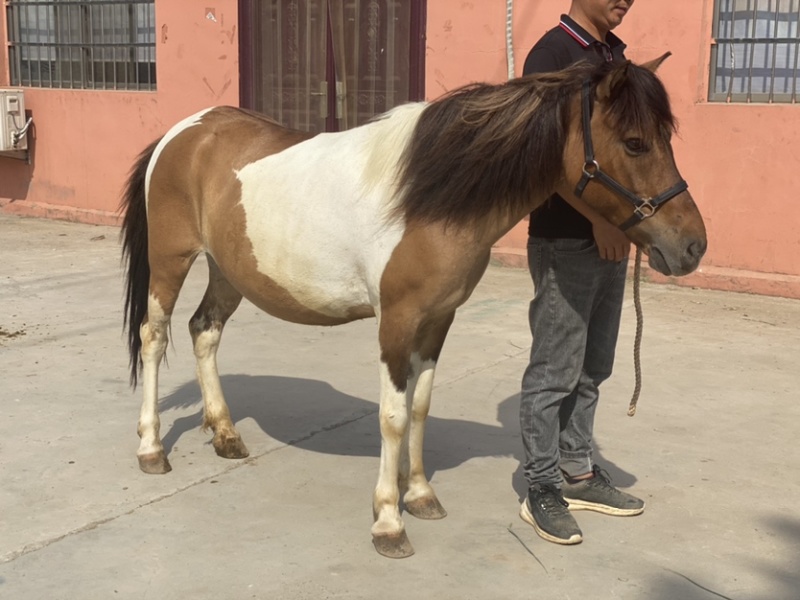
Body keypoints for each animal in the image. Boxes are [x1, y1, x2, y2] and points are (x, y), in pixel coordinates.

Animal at [120, 54, 706, 558]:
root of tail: (183, 132)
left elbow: (420, 406)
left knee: (204, 330)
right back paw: (150, 448)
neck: (428, 197)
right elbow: (394, 417)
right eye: (635, 143)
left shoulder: (437, 320)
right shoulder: (396, 324)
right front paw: (388, 521)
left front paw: (421, 495)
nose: (693, 246)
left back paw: (225, 434)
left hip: (227, 270)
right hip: (170, 261)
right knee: (155, 335)